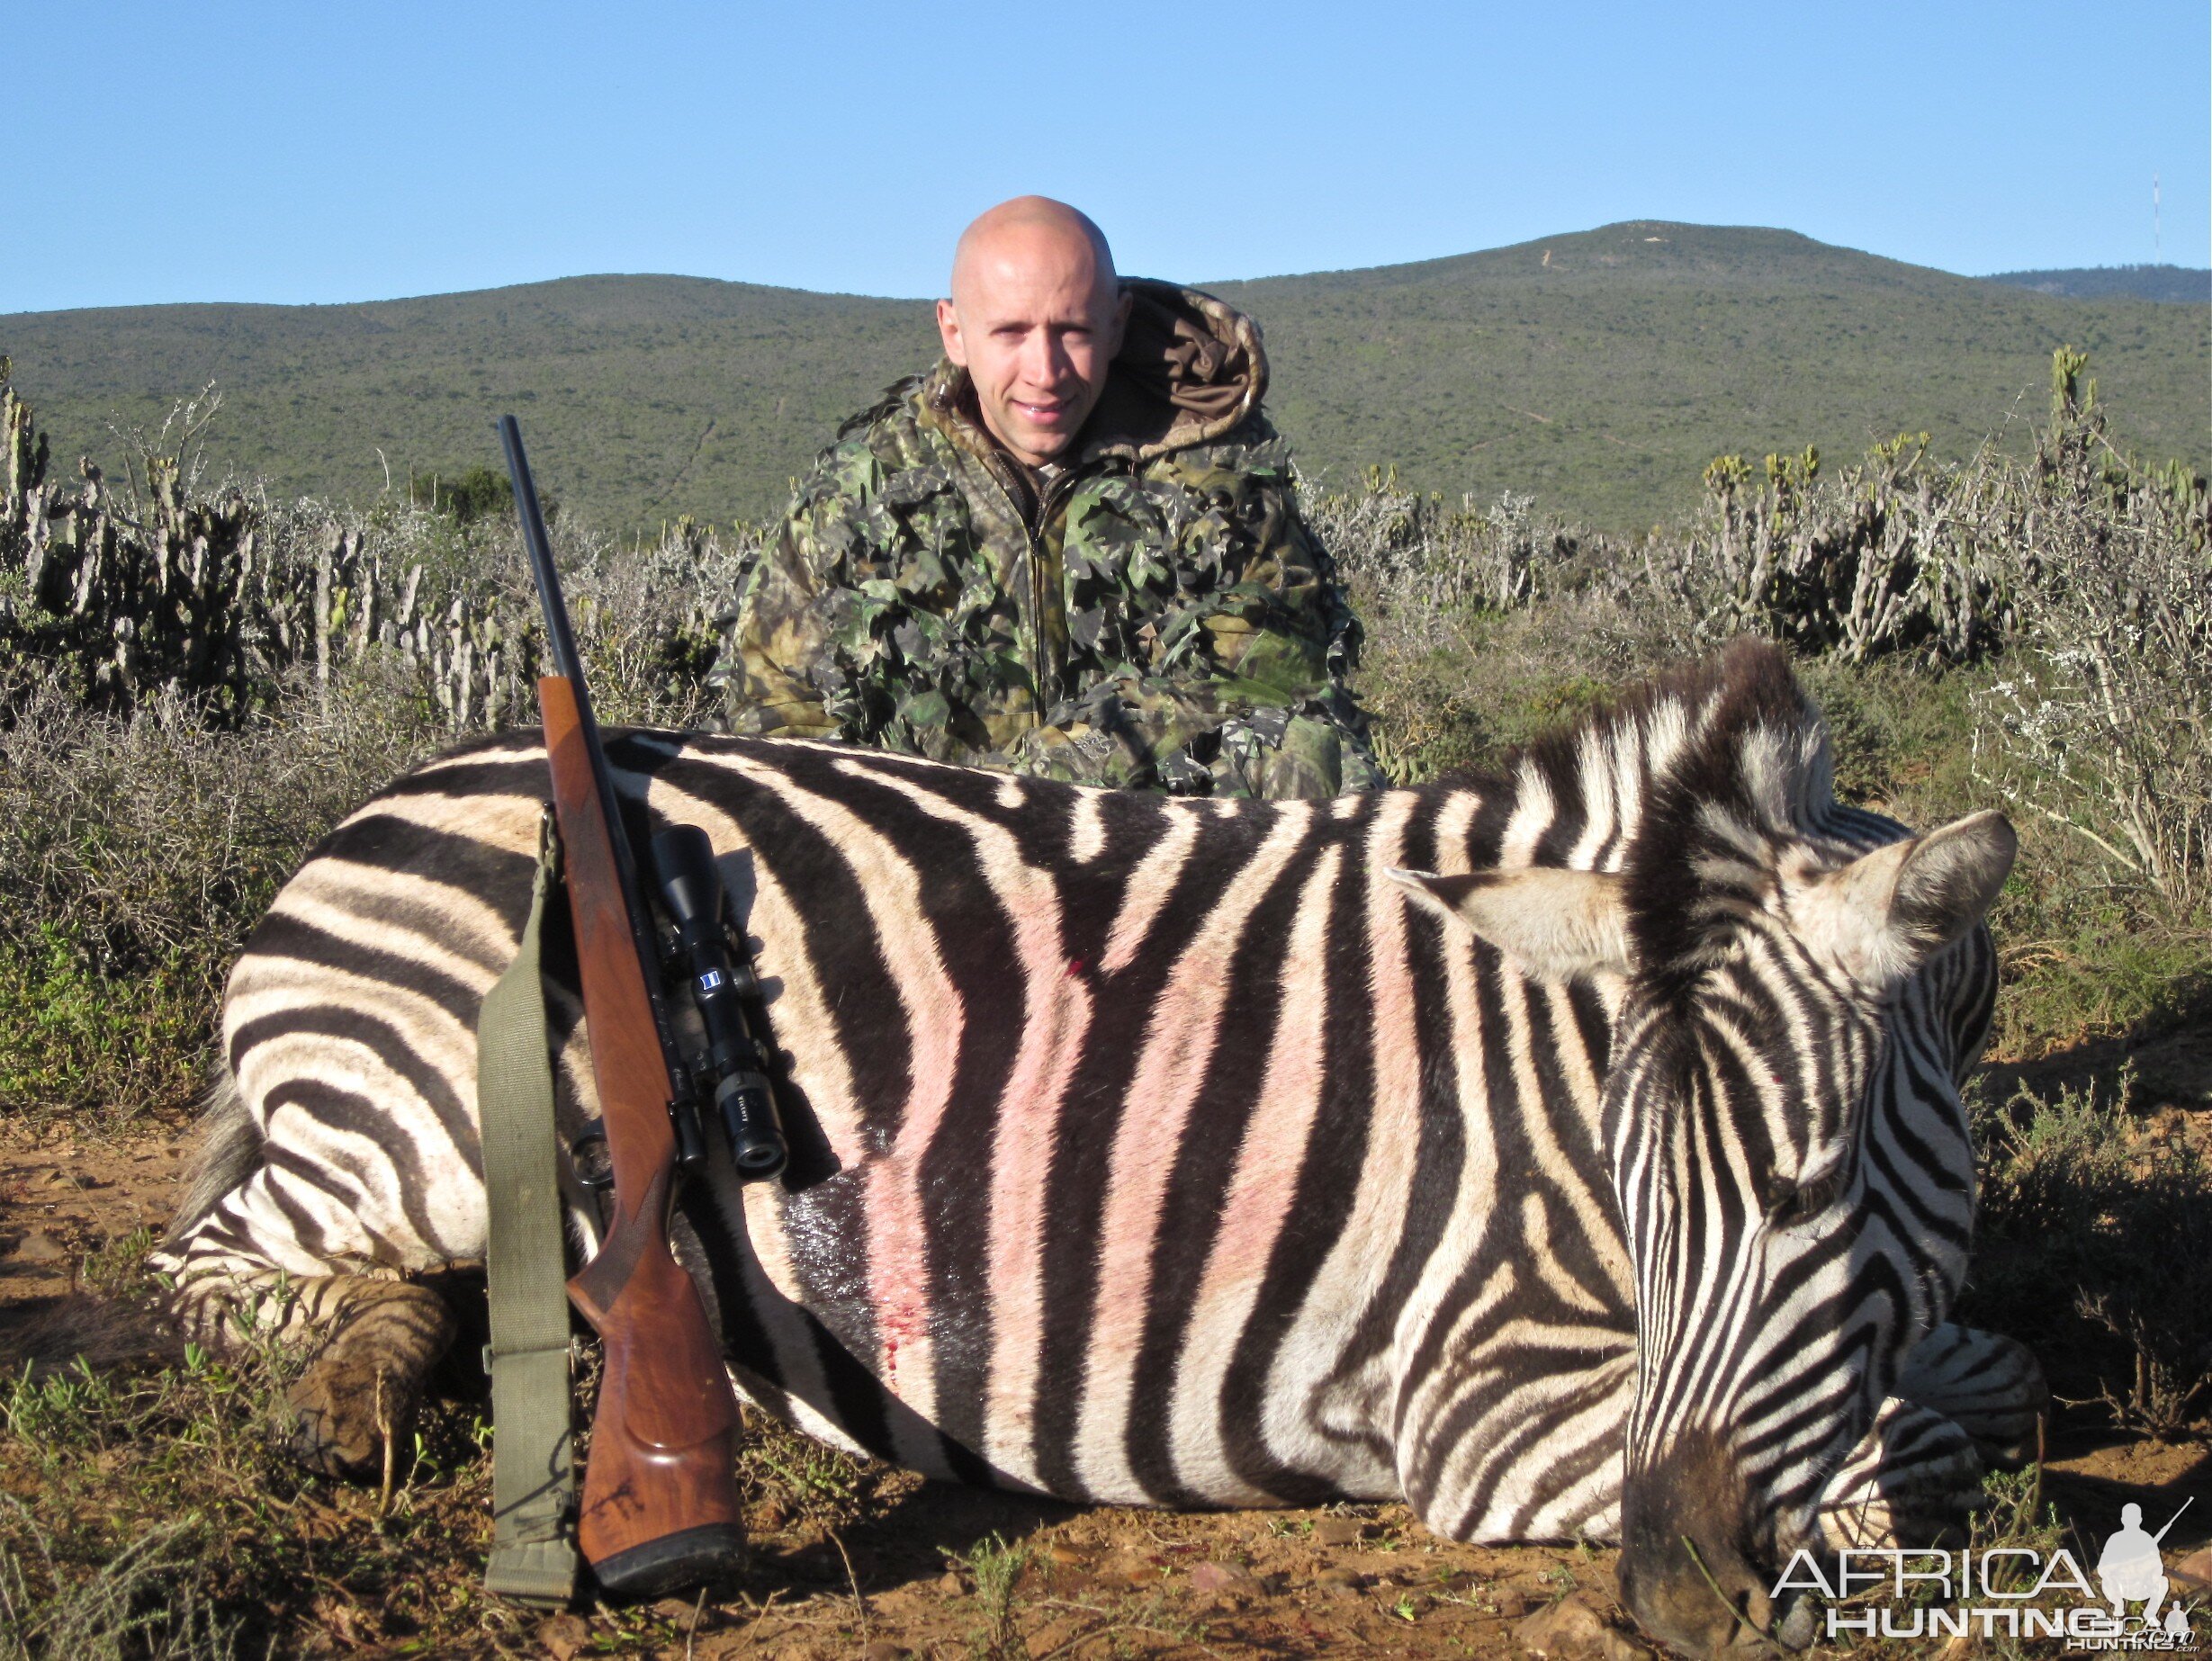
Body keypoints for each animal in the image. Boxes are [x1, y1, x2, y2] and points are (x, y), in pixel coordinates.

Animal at [156, 641, 2044, 1654]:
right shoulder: (1477, 1409)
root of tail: (392, 789)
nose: (1674, 1592)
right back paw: (352, 1393)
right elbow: (1907, 1458)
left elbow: (1975, 1374)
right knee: (216, 1265)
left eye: (1807, 1191)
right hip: (422, 1126)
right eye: (1638, 1190)